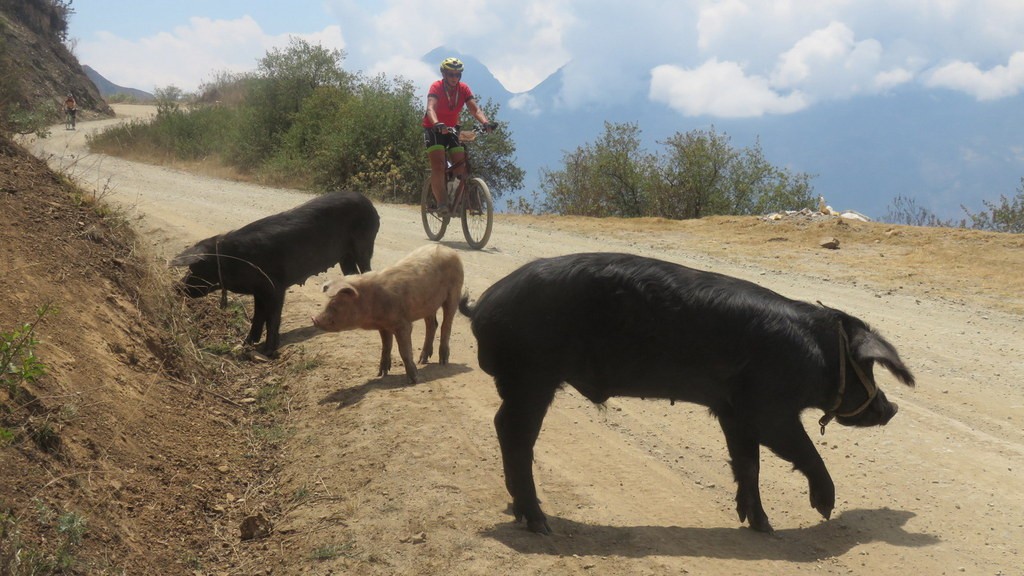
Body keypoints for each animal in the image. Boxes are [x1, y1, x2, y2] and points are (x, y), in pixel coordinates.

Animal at [460, 253, 917, 532]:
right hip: (532, 375)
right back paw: (541, 524)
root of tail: (483, 305)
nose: (891, 408)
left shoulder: (732, 411)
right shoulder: (767, 409)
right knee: (513, 432)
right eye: (866, 365)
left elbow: (748, 464)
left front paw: (761, 526)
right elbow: (803, 450)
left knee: (507, 428)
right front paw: (823, 509)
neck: (816, 351)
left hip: (527, 379)